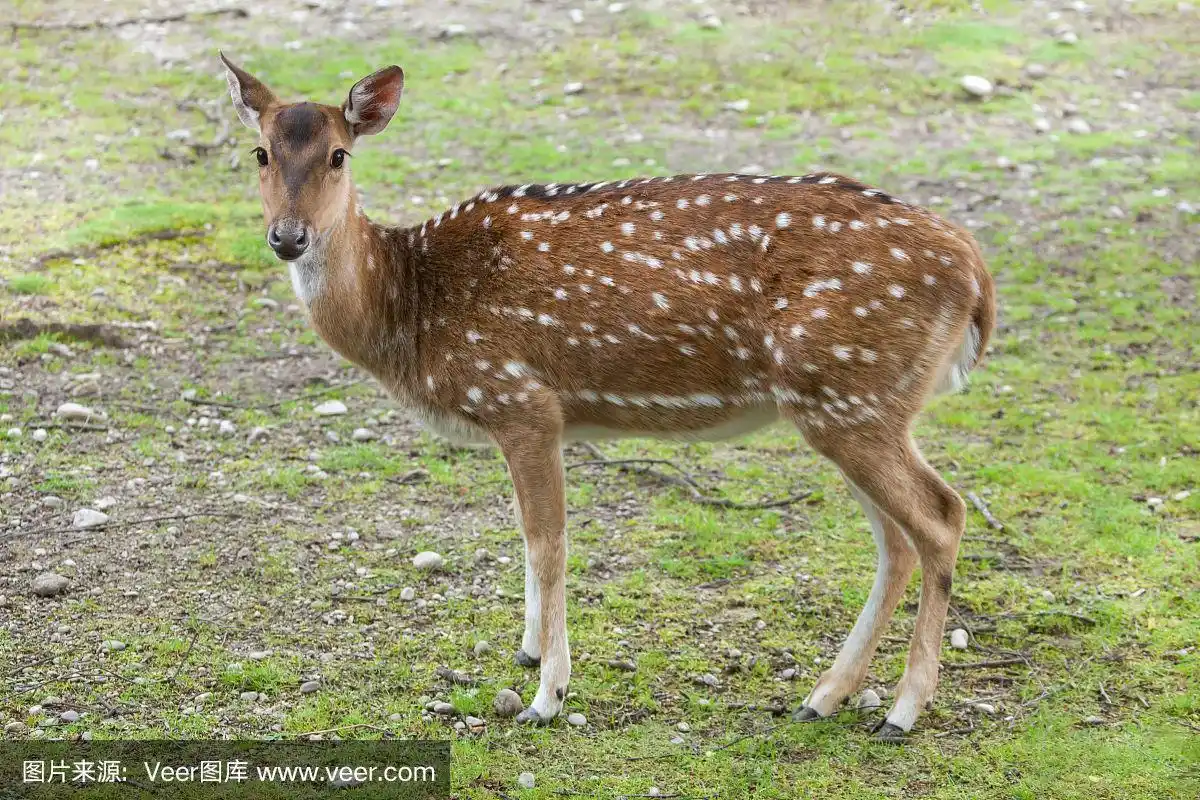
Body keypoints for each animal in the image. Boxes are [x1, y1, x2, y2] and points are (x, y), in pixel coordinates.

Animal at [219, 53, 997, 742]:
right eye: (259, 153)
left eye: (339, 156)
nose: (288, 237)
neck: (413, 309)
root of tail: (976, 274)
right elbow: (523, 533)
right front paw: (528, 650)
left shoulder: (522, 399)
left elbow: (548, 542)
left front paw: (548, 697)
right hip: (848, 404)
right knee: (897, 538)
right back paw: (824, 696)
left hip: (850, 393)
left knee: (941, 516)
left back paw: (902, 710)